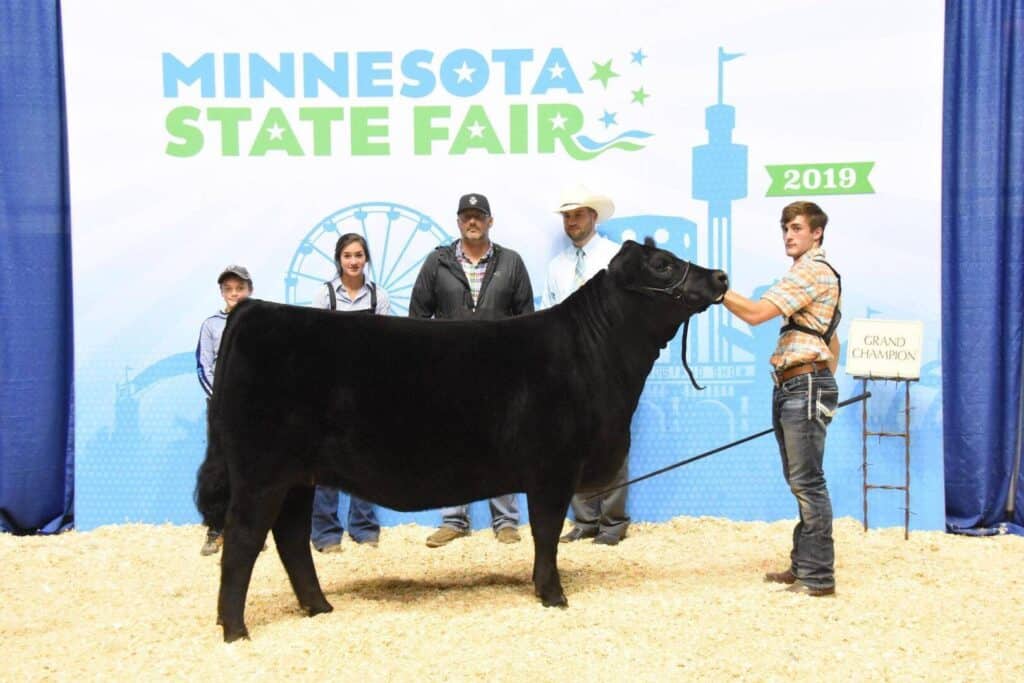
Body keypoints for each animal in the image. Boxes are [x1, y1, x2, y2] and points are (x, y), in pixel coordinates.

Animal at [196, 238, 728, 641]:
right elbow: (547, 533)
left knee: (289, 538)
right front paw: (553, 595)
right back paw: (236, 630)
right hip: (261, 471)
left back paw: (317, 607)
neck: (593, 352)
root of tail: (254, 309)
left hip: (296, 476)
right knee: (243, 539)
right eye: (663, 265)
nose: (721, 277)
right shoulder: (553, 468)